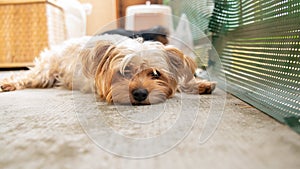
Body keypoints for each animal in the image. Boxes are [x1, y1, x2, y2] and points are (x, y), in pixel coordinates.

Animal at [0, 34, 216, 105]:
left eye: (156, 74)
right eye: (124, 72)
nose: (139, 94)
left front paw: (201, 84)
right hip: (45, 72)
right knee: (25, 76)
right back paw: (7, 83)